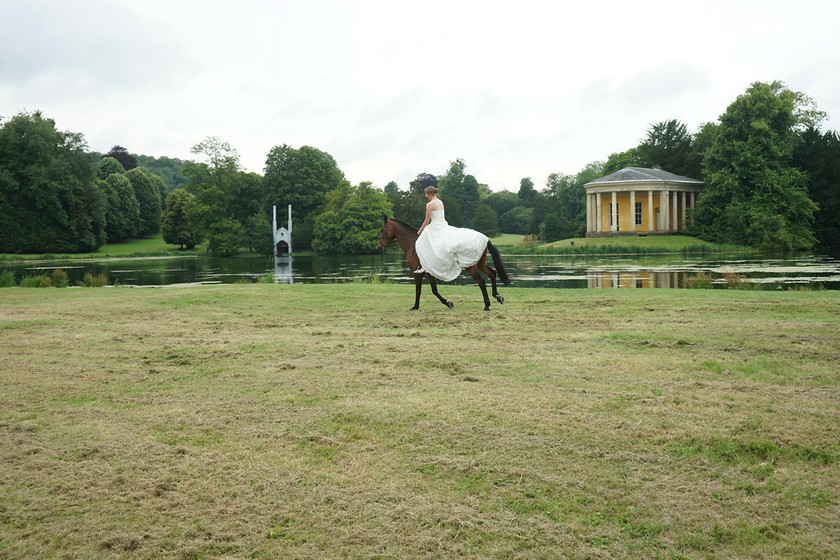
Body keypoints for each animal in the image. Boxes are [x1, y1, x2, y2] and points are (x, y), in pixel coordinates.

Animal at [378, 217, 508, 310]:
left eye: (382, 230)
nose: (380, 247)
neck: (411, 243)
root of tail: (485, 238)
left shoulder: (417, 273)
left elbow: (419, 290)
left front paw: (415, 306)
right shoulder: (429, 272)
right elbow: (434, 290)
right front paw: (448, 303)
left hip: (470, 267)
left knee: (481, 281)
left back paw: (487, 305)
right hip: (480, 263)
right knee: (492, 273)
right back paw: (498, 297)